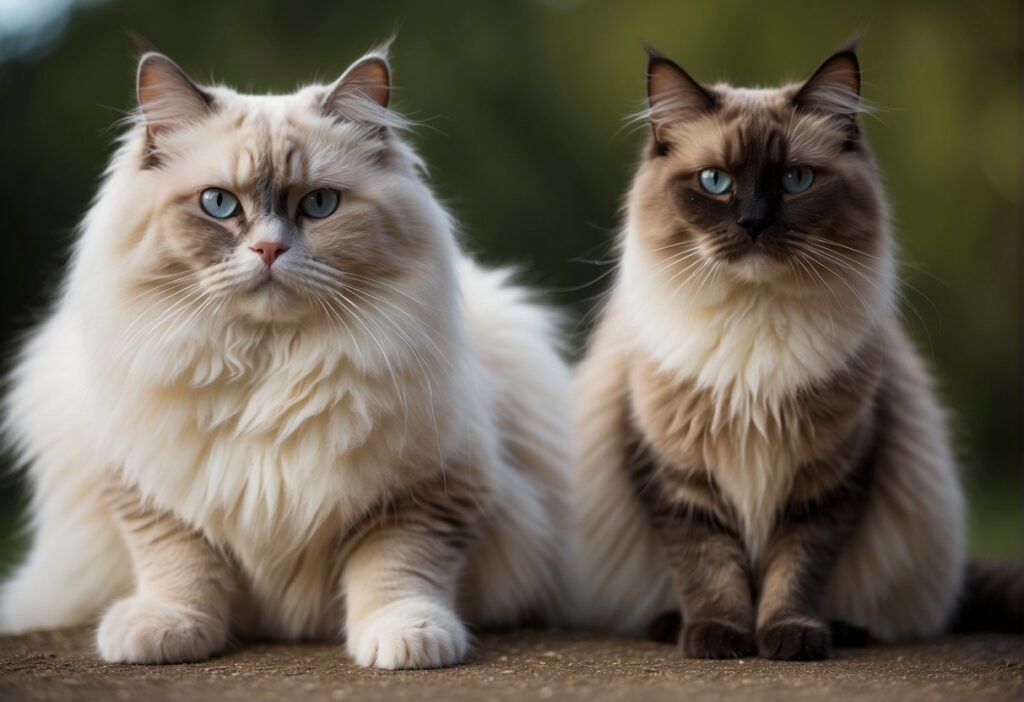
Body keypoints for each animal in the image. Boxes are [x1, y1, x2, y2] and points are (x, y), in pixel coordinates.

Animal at [0, 46, 573, 675]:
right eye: (218, 204)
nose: (269, 249)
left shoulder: (428, 493)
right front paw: (164, 631)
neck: (269, 367)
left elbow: (397, 571)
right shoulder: (149, 490)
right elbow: (179, 567)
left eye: (319, 204)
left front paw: (406, 640)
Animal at [573, 46, 1019, 663]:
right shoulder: (678, 479)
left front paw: (789, 636)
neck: (754, 328)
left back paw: (844, 629)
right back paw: (672, 625)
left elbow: (796, 570)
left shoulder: (827, 479)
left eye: (796, 180)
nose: (754, 223)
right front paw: (721, 637)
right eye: (715, 182)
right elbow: (709, 569)